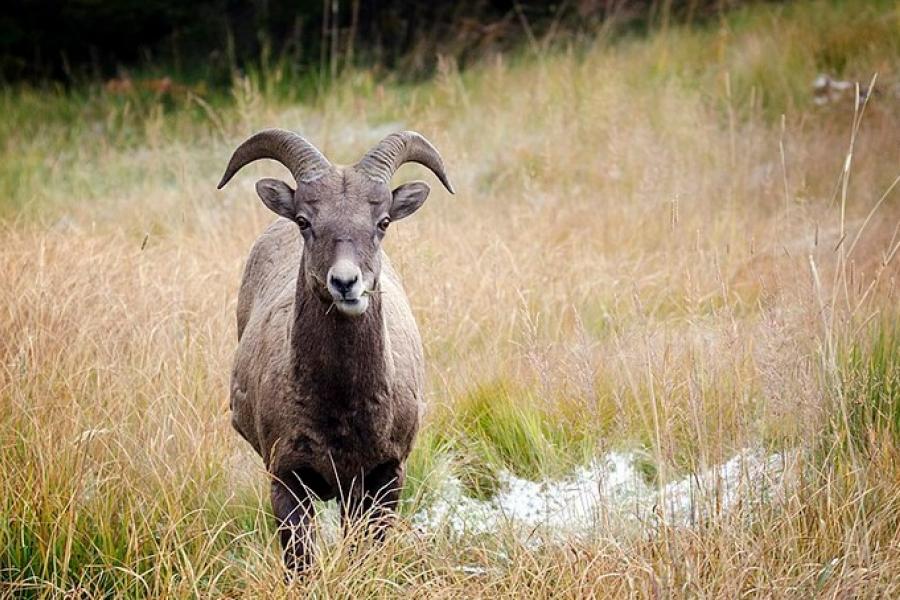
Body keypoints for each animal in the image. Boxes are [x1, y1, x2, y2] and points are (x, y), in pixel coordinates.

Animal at [217, 127, 454, 572]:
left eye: (382, 222)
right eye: (305, 221)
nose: (346, 283)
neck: (342, 410)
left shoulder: (383, 477)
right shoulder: (287, 480)